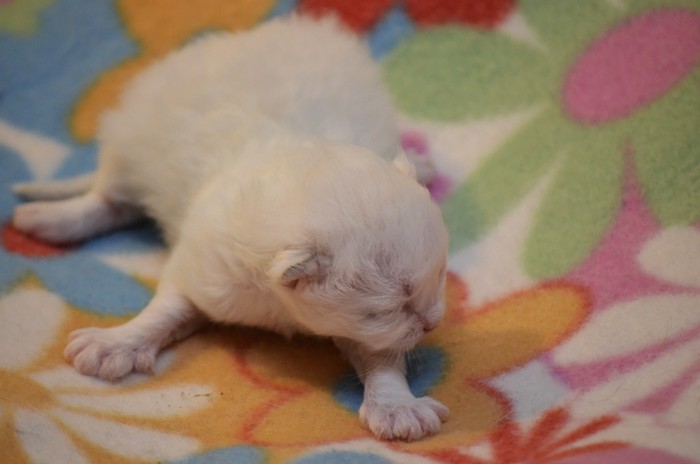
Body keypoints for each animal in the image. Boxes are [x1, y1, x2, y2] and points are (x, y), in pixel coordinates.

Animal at [12, 15, 449, 441]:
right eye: (386, 309)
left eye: (441, 277)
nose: (433, 322)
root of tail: (243, 37)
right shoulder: (203, 265)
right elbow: (166, 307)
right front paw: (116, 342)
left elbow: (380, 354)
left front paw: (397, 406)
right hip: (131, 138)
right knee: (107, 198)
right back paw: (47, 220)